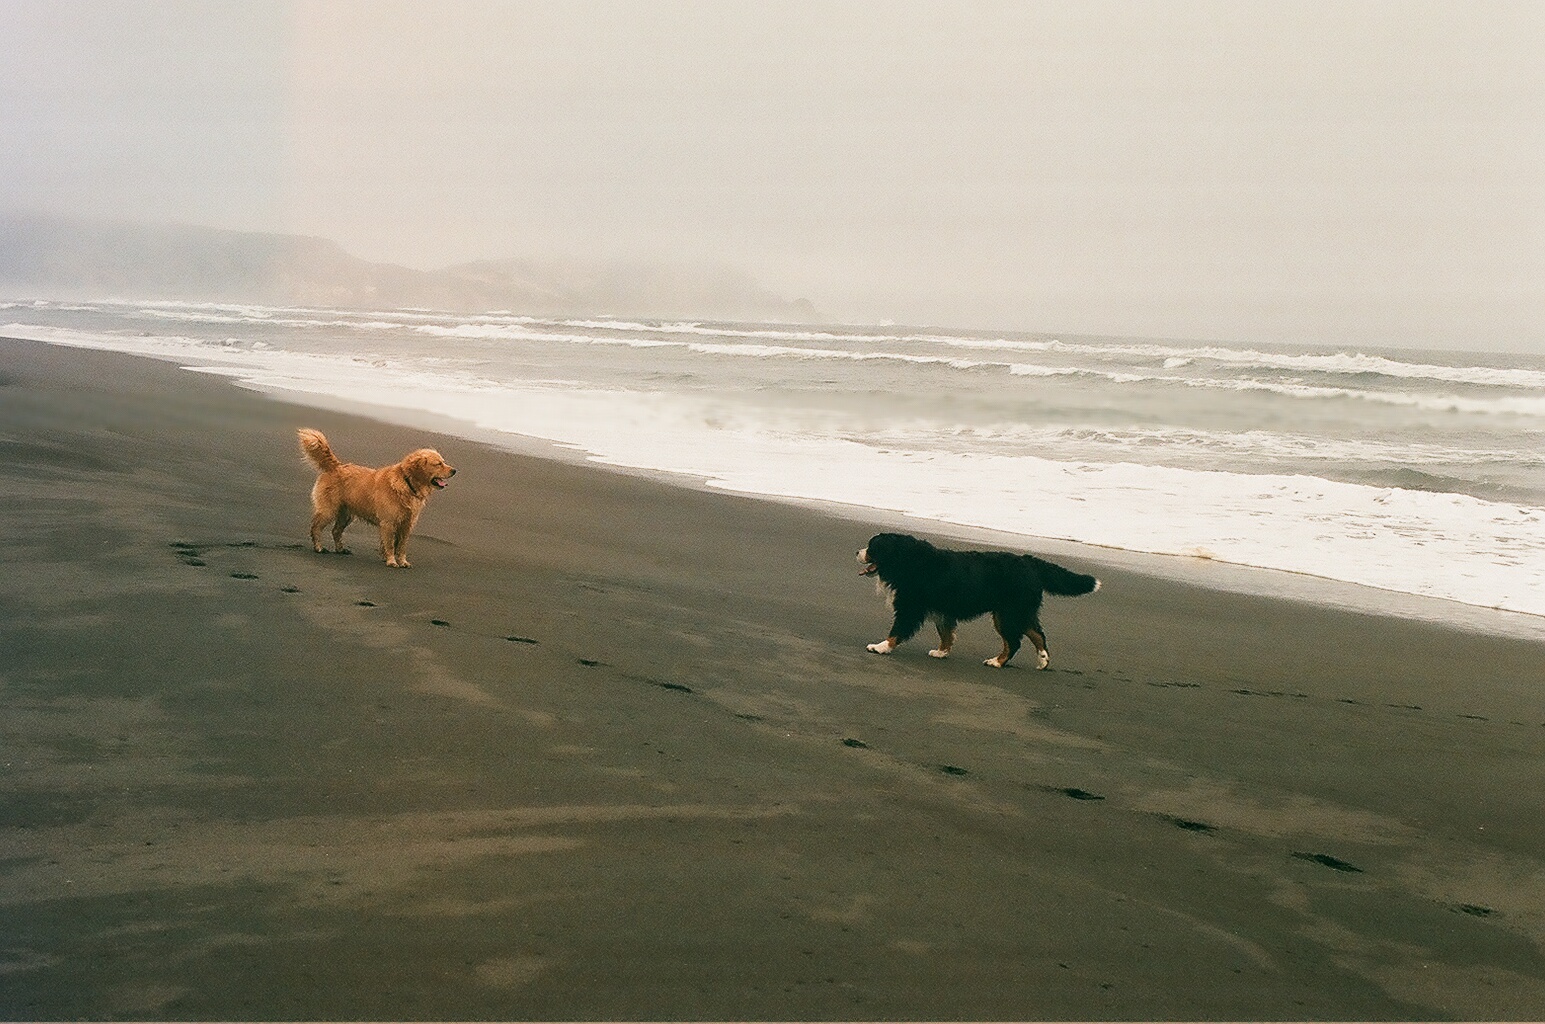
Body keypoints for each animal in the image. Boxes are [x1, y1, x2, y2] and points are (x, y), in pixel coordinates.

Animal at [297, 428, 456, 568]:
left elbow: (401, 546)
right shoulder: (388, 523)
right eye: (438, 464)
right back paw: (319, 547)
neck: (407, 483)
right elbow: (390, 545)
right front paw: (391, 561)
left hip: (346, 514)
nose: (454, 470)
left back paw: (340, 549)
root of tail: (336, 466)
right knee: (316, 527)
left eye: (443, 461)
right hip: (329, 510)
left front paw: (402, 561)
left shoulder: (406, 525)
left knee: (336, 531)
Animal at [857, 532, 1099, 668]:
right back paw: (1042, 660)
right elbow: (946, 633)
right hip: (1019, 611)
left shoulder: (910, 607)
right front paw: (942, 652)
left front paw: (881, 647)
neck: (905, 560)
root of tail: (1028, 562)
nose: (857, 552)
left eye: (872, 547)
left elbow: (896, 631)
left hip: (1007, 614)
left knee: (1014, 642)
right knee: (1037, 634)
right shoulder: (943, 610)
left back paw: (997, 662)